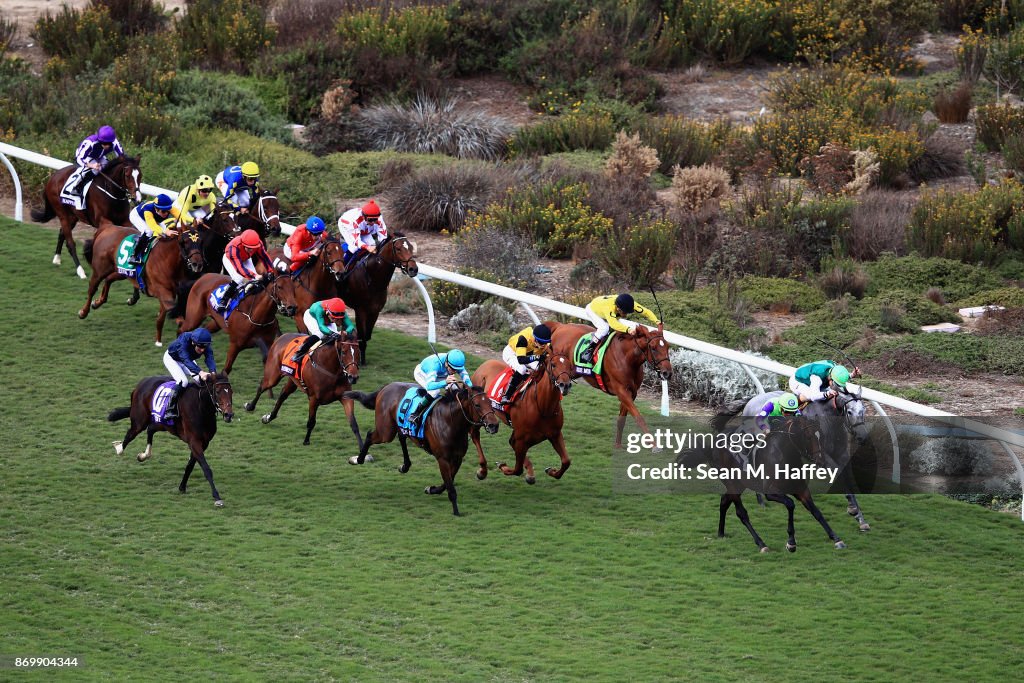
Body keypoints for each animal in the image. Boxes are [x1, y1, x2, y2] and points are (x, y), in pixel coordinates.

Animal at [108, 374, 235, 507]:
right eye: (218, 391)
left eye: (231, 391)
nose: (229, 415)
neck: (201, 407)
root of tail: (141, 383)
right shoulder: (194, 441)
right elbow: (206, 469)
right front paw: (217, 496)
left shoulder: (204, 443)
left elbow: (190, 465)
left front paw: (182, 487)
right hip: (140, 421)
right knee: (131, 434)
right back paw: (119, 448)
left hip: (162, 422)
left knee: (150, 429)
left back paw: (144, 455)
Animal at [335, 233, 415, 362]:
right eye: (398, 249)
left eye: (411, 247)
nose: (414, 269)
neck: (373, 278)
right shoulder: (360, 310)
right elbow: (362, 336)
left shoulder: (375, 310)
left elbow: (367, 335)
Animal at [344, 382, 499, 516]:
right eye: (477, 404)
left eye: (490, 402)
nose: (494, 425)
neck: (451, 422)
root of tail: (387, 386)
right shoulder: (442, 459)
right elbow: (450, 487)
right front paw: (456, 511)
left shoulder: (457, 458)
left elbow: (447, 483)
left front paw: (432, 489)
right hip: (385, 431)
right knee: (370, 436)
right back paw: (358, 459)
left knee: (402, 436)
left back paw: (404, 466)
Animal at [729, 387, 872, 532]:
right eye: (849, 411)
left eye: (863, 410)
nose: (863, 436)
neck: (830, 422)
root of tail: (751, 401)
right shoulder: (823, 457)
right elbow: (839, 475)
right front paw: (853, 509)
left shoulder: (842, 456)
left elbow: (848, 480)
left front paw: (860, 518)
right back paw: (761, 499)